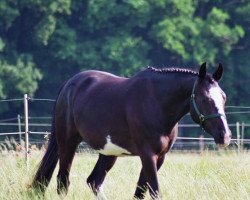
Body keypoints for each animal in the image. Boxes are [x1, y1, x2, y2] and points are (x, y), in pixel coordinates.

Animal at [32, 62, 231, 198]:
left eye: (223, 97)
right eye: (205, 98)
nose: (225, 136)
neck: (156, 102)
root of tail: (68, 84)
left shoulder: (159, 157)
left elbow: (140, 192)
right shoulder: (147, 155)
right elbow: (154, 191)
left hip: (108, 152)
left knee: (94, 181)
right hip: (68, 144)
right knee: (63, 182)